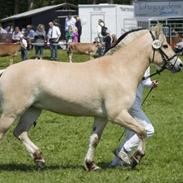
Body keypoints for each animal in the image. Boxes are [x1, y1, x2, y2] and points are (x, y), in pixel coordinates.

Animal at [0, 25, 182, 171]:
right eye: (165, 45)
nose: (179, 65)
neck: (120, 69)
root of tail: (6, 71)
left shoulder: (102, 117)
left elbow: (94, 139)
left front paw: (91, 165)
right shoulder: (117, 115)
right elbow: (142, 131)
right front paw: (136, 158)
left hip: (33, 109)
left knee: (20, 132)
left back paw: (39, 158)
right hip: (12, 112)